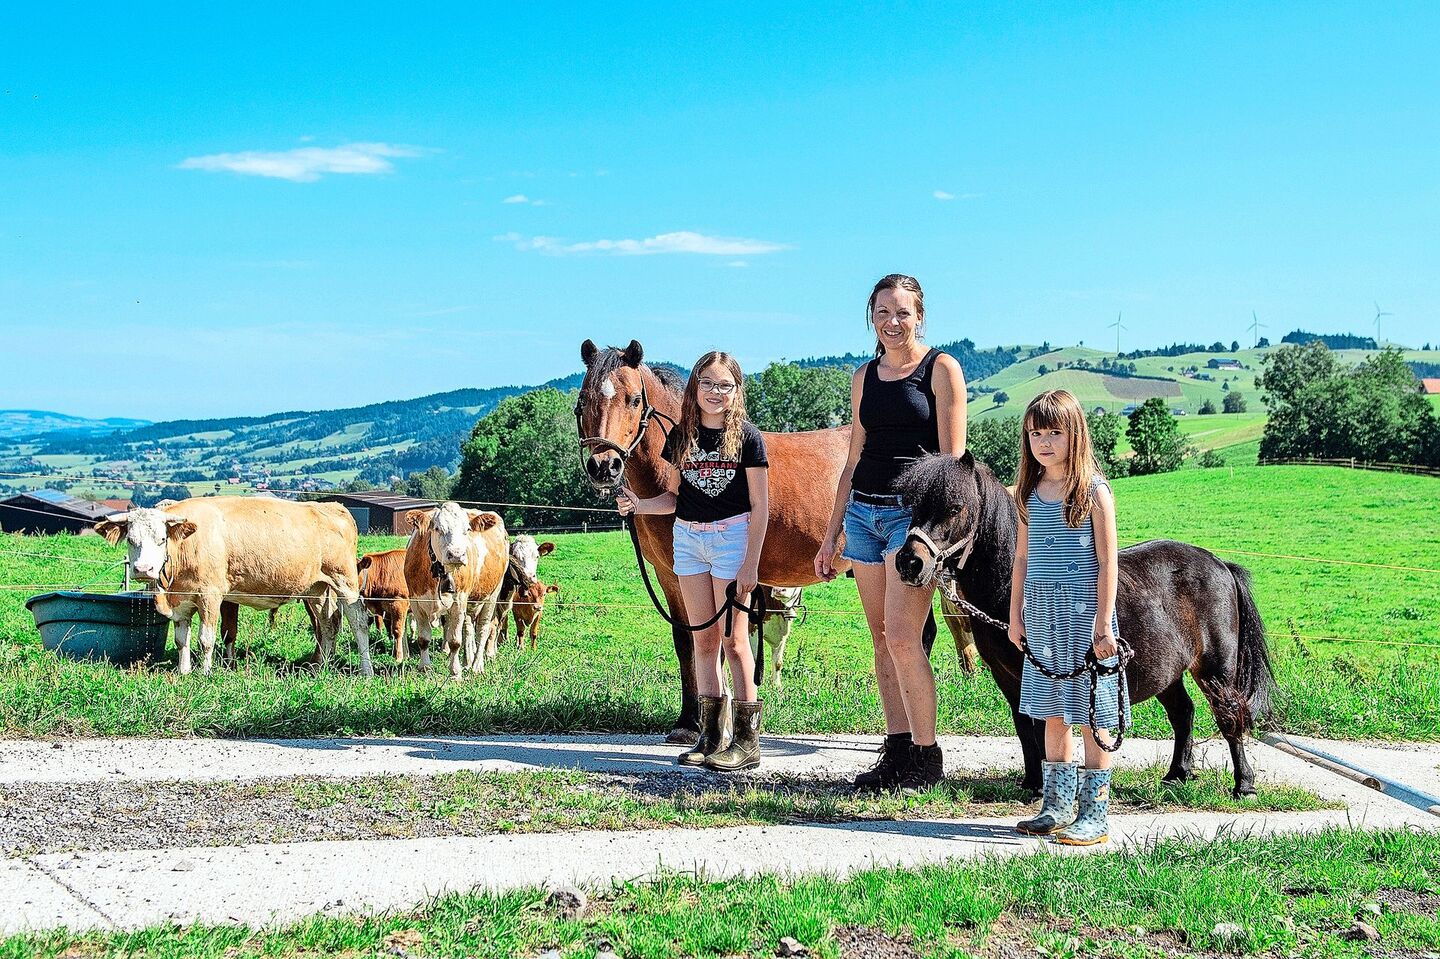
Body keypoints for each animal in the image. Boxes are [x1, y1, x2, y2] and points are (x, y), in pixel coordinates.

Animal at [575, 338, 957, 742]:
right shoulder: (672, 575)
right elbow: (686, 642)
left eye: (633, 399)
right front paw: (688, 723)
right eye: (584, 399)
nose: (604, 466)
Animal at [891, 452, 1275, 797]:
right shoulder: (1007, 676)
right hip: (1168, 672)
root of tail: (1221, 565)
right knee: (1183, 713)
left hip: (1216, 669)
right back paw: (1177, 775)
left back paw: (1244, 785)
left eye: (955, 507)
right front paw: (1032, 783)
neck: (1012, 590)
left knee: (1230, 717)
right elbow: (1024, 726)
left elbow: (1042, 727)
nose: (909, 562)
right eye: (912, 506)